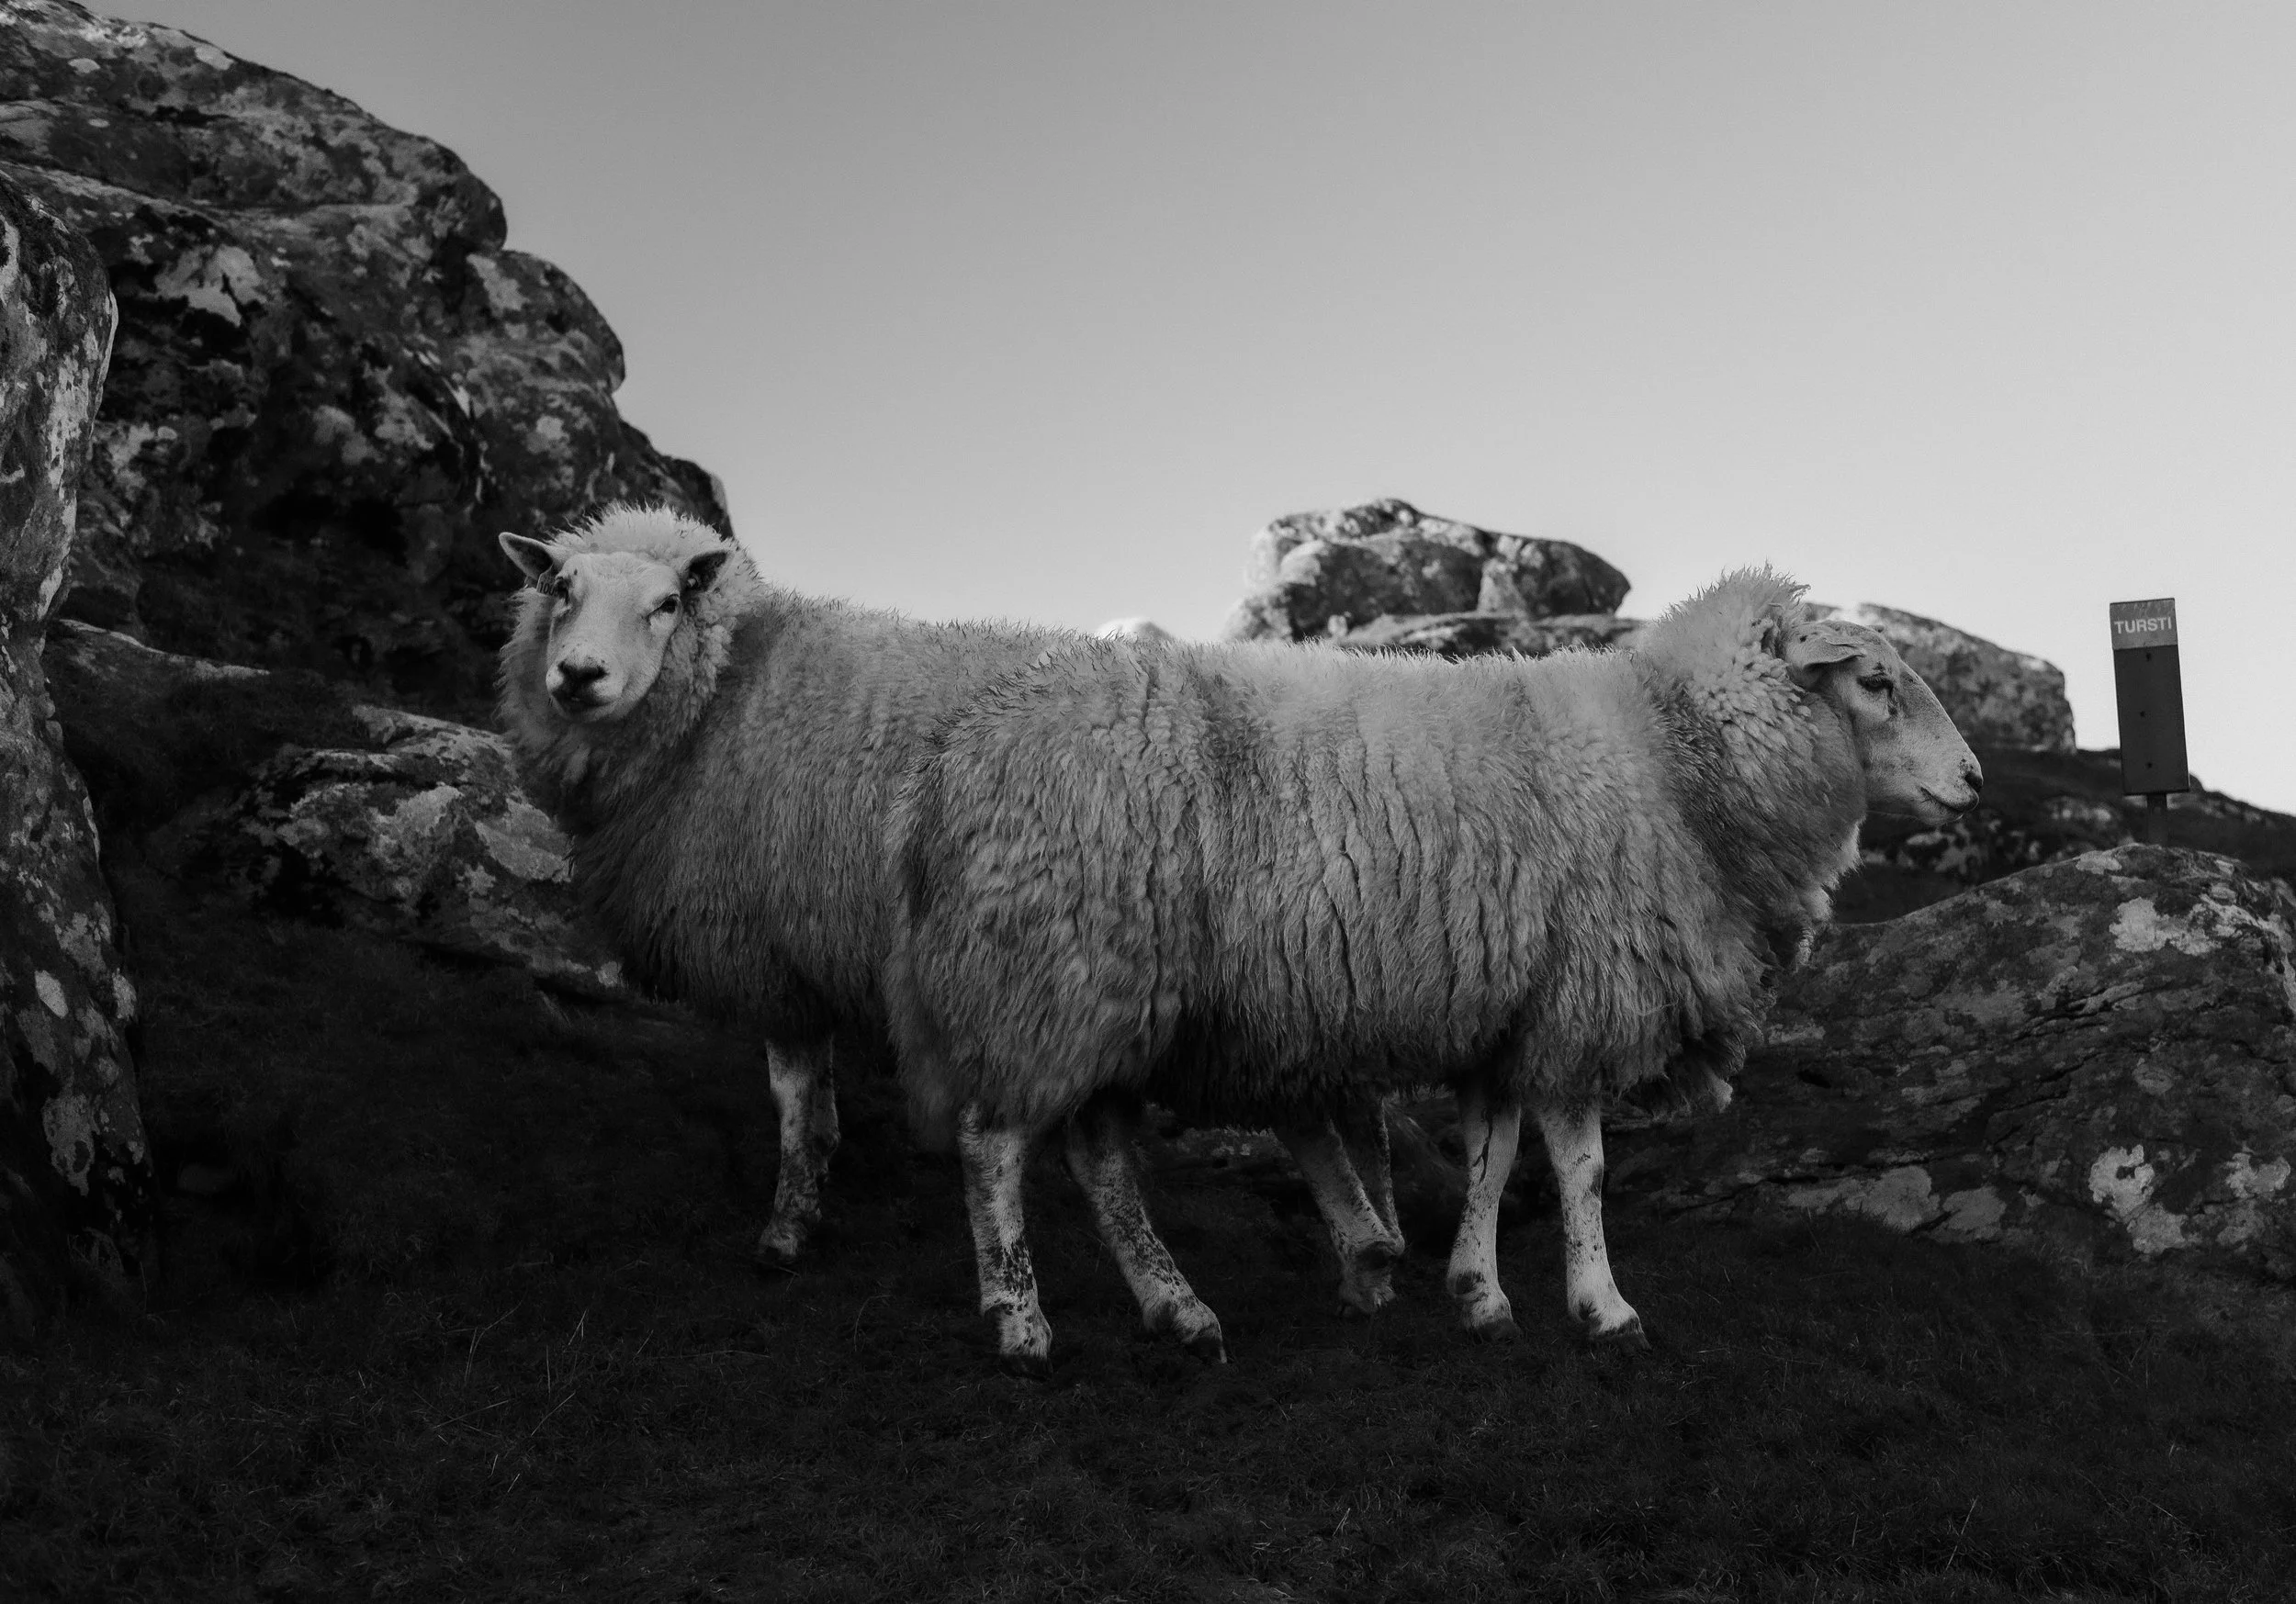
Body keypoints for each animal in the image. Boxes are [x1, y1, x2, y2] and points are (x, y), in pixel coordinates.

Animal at [494, 504, 1404, 1347]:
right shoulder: (812, 946)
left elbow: (790, 1093)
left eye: (669, 602)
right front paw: (820, 1171)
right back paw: (1371, 1255)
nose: (577, 675)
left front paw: (786, 1226)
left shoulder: (774, 946)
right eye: (561, 588)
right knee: (1332, 1106)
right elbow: (815, 1097)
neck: (730, 691)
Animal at [884, 568, 1984, 1372]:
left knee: (1099, 1157)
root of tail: (960, 757)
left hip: (1102, 998)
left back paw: (1177, 1309)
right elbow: (1583, 1170)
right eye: (1876, 681)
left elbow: (1491, 1160)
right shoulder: (1579, 999)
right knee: (992, 1144)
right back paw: (1019, 1320)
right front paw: (1604, 1305)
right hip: (1054, 973)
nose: (1975, 778)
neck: (1677, 756)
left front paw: (1479, 1294)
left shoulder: (1510, 1010)